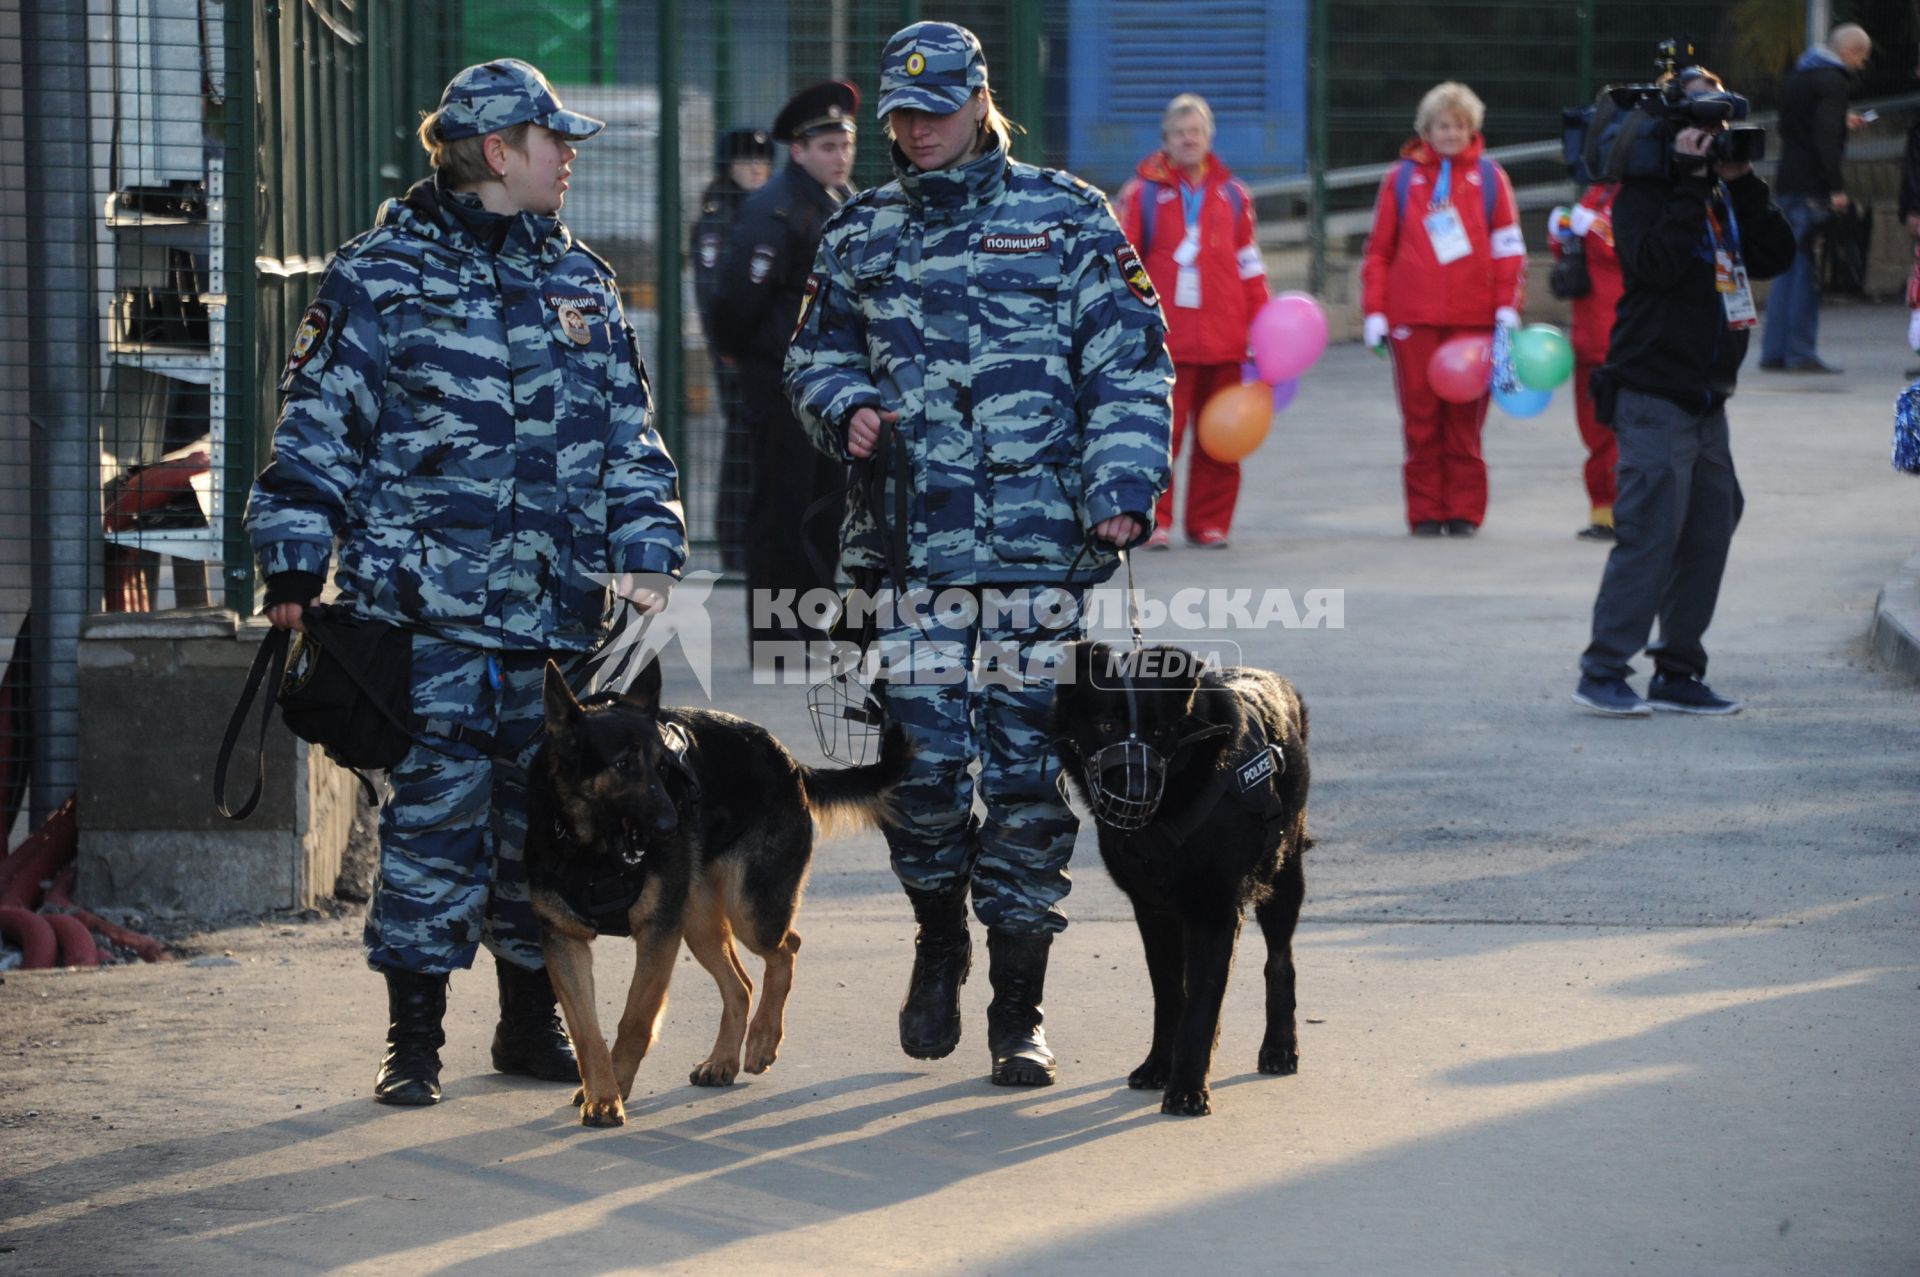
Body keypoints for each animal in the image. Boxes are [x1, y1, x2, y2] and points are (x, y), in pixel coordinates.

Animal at [526, 656, 913, 1129]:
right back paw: (723, 1060)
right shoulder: (564, 940)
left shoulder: (659, 934)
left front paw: (617, 1088)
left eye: (661, 766)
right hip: (698, 923)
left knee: (786, 948)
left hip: (747, 913)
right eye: (622, 765)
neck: (594, 848)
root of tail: (787, 758)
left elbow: (635, 1019)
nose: (670, 825)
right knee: (741, 985)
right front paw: (603, 1093)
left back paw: (763, 1040)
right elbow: (586, 1031)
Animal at [1052, 641, 1305, 1113]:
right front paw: (1160, 1065)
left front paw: (1187, 1086)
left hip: (1283, 881)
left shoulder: (1215, 912)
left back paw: (1280, 1046)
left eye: (1158, 732)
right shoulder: (1155, 913)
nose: (1135, 794)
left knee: (1280, 962)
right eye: (1107, 725)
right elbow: (1172, 995)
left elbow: (1201, 1003)